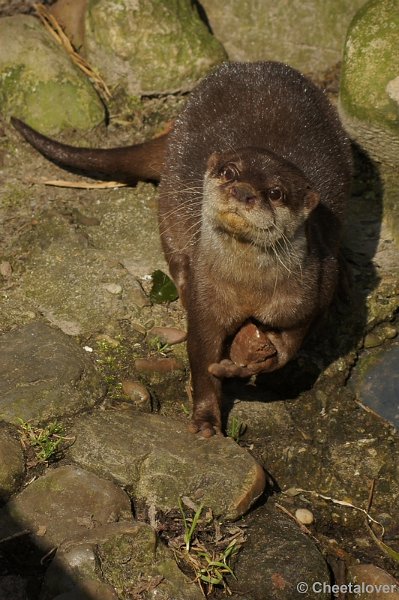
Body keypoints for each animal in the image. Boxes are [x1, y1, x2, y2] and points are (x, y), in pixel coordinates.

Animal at [10, 61, 354, 436]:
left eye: (276, 192)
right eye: (229, 172)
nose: (243, 191)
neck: (248, 289)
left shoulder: (310, 292)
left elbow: (292, 345)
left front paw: (252, 362)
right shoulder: (208, 297)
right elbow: (201, 355)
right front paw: (206, 420)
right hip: (169, 206)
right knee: (176, 254)